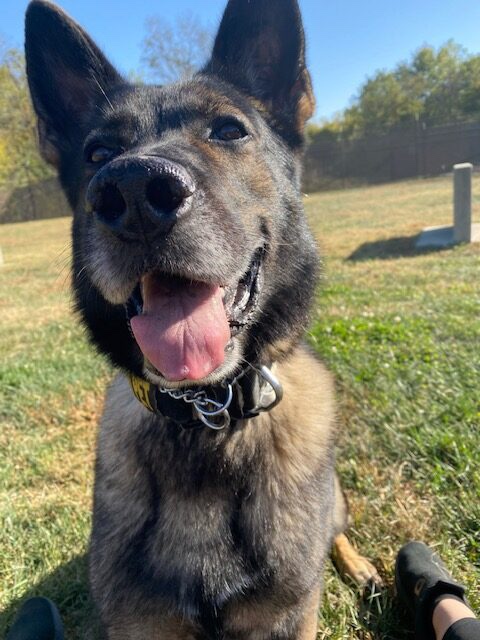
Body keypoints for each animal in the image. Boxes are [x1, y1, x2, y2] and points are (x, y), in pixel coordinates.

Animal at [25, 2, 378, 636]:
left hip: (333, 501)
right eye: (96, 154)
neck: (207, 417)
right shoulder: (143, 622)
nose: (133, 189)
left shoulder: (285, 617)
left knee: (334, 530)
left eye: (229, 130)